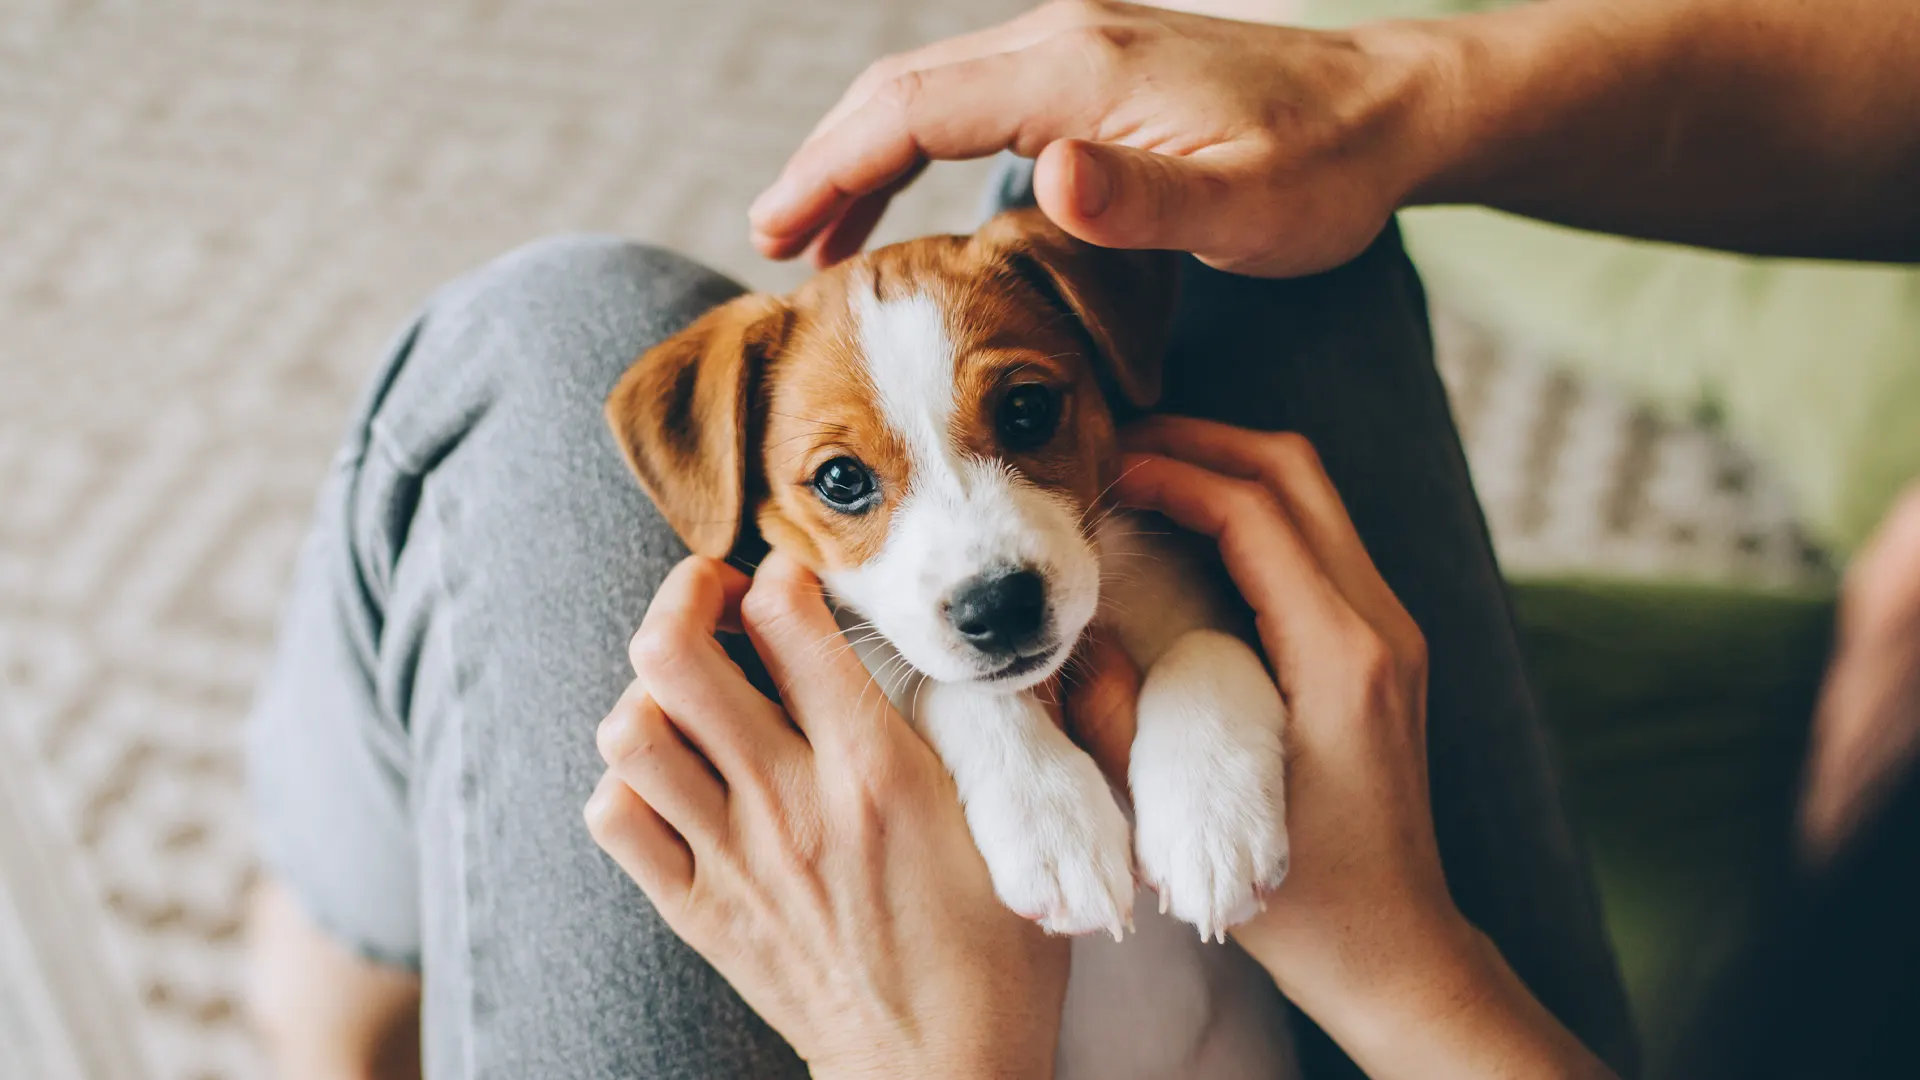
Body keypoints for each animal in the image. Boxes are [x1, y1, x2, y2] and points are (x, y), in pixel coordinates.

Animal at [606, 205, 1297, 1068]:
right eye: (841, 479)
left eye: (1027, 409)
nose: (998, 607)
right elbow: (948, 688)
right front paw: (1049, 820)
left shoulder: (1213, 596)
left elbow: (1208, 645)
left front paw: (1210, 820)